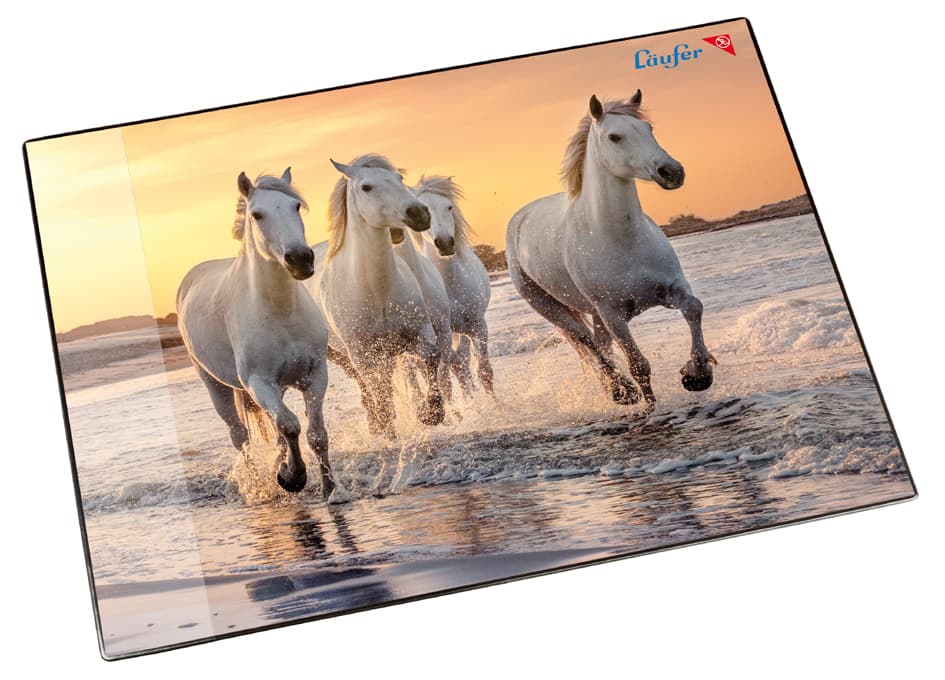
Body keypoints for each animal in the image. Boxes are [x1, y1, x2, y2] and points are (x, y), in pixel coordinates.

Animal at [177, 168, 335, 497]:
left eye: (295, 206)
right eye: (257, 214)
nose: (300, 259)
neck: (281, 312)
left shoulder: (315, 374)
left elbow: (315, 434)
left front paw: (330, 489)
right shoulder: (259, 383)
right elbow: (290, 425)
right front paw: (293, 477)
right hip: (215, 385)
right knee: (240, 436)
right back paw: (255, 484)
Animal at [308, 154, 444, 439]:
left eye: (399, 178)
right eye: (366, 187)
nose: (419, 213)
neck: (377, 290)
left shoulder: (419, 332)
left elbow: (430, 357)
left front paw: (431, 413)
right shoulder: (362, 354)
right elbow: (378, 391)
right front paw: (387, 427)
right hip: (341, 355)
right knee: (366, 386)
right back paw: (376, 423)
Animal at [410, 176, 494, 396]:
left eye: (449, 207)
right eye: (425, 209)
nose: (445, 243)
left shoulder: (478, 326)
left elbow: (484, 372)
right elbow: (445, 379)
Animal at [506, 91, 716, 412]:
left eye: (648, 129)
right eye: (614, 137)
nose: (672, 172)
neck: (621, 240)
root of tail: (520, 218)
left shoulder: (672, 288)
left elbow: (694, 307)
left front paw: (697, 374)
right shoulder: (612, 314)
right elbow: (639, 365)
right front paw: (650, 407)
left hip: (592, 312)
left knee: (598, 343)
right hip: (548, 305)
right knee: (586, 341)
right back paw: (620, 391)